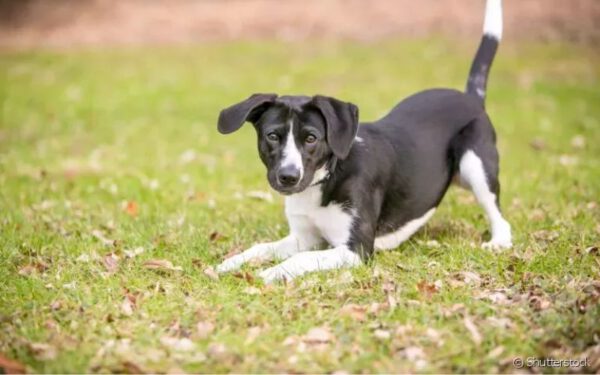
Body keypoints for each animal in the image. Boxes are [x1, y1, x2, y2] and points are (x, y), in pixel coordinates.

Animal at [216, 0, 510, 284]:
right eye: (273, 136)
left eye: (311, 138)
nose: (288, 177)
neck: (326, 180)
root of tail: (470, 96)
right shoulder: (304, 237)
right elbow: (261, 247)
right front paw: (231, 263)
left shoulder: (355, 248)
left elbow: (301, 259)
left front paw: (273, 273)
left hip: (476, 167)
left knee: (499, 215)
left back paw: (498, 242)